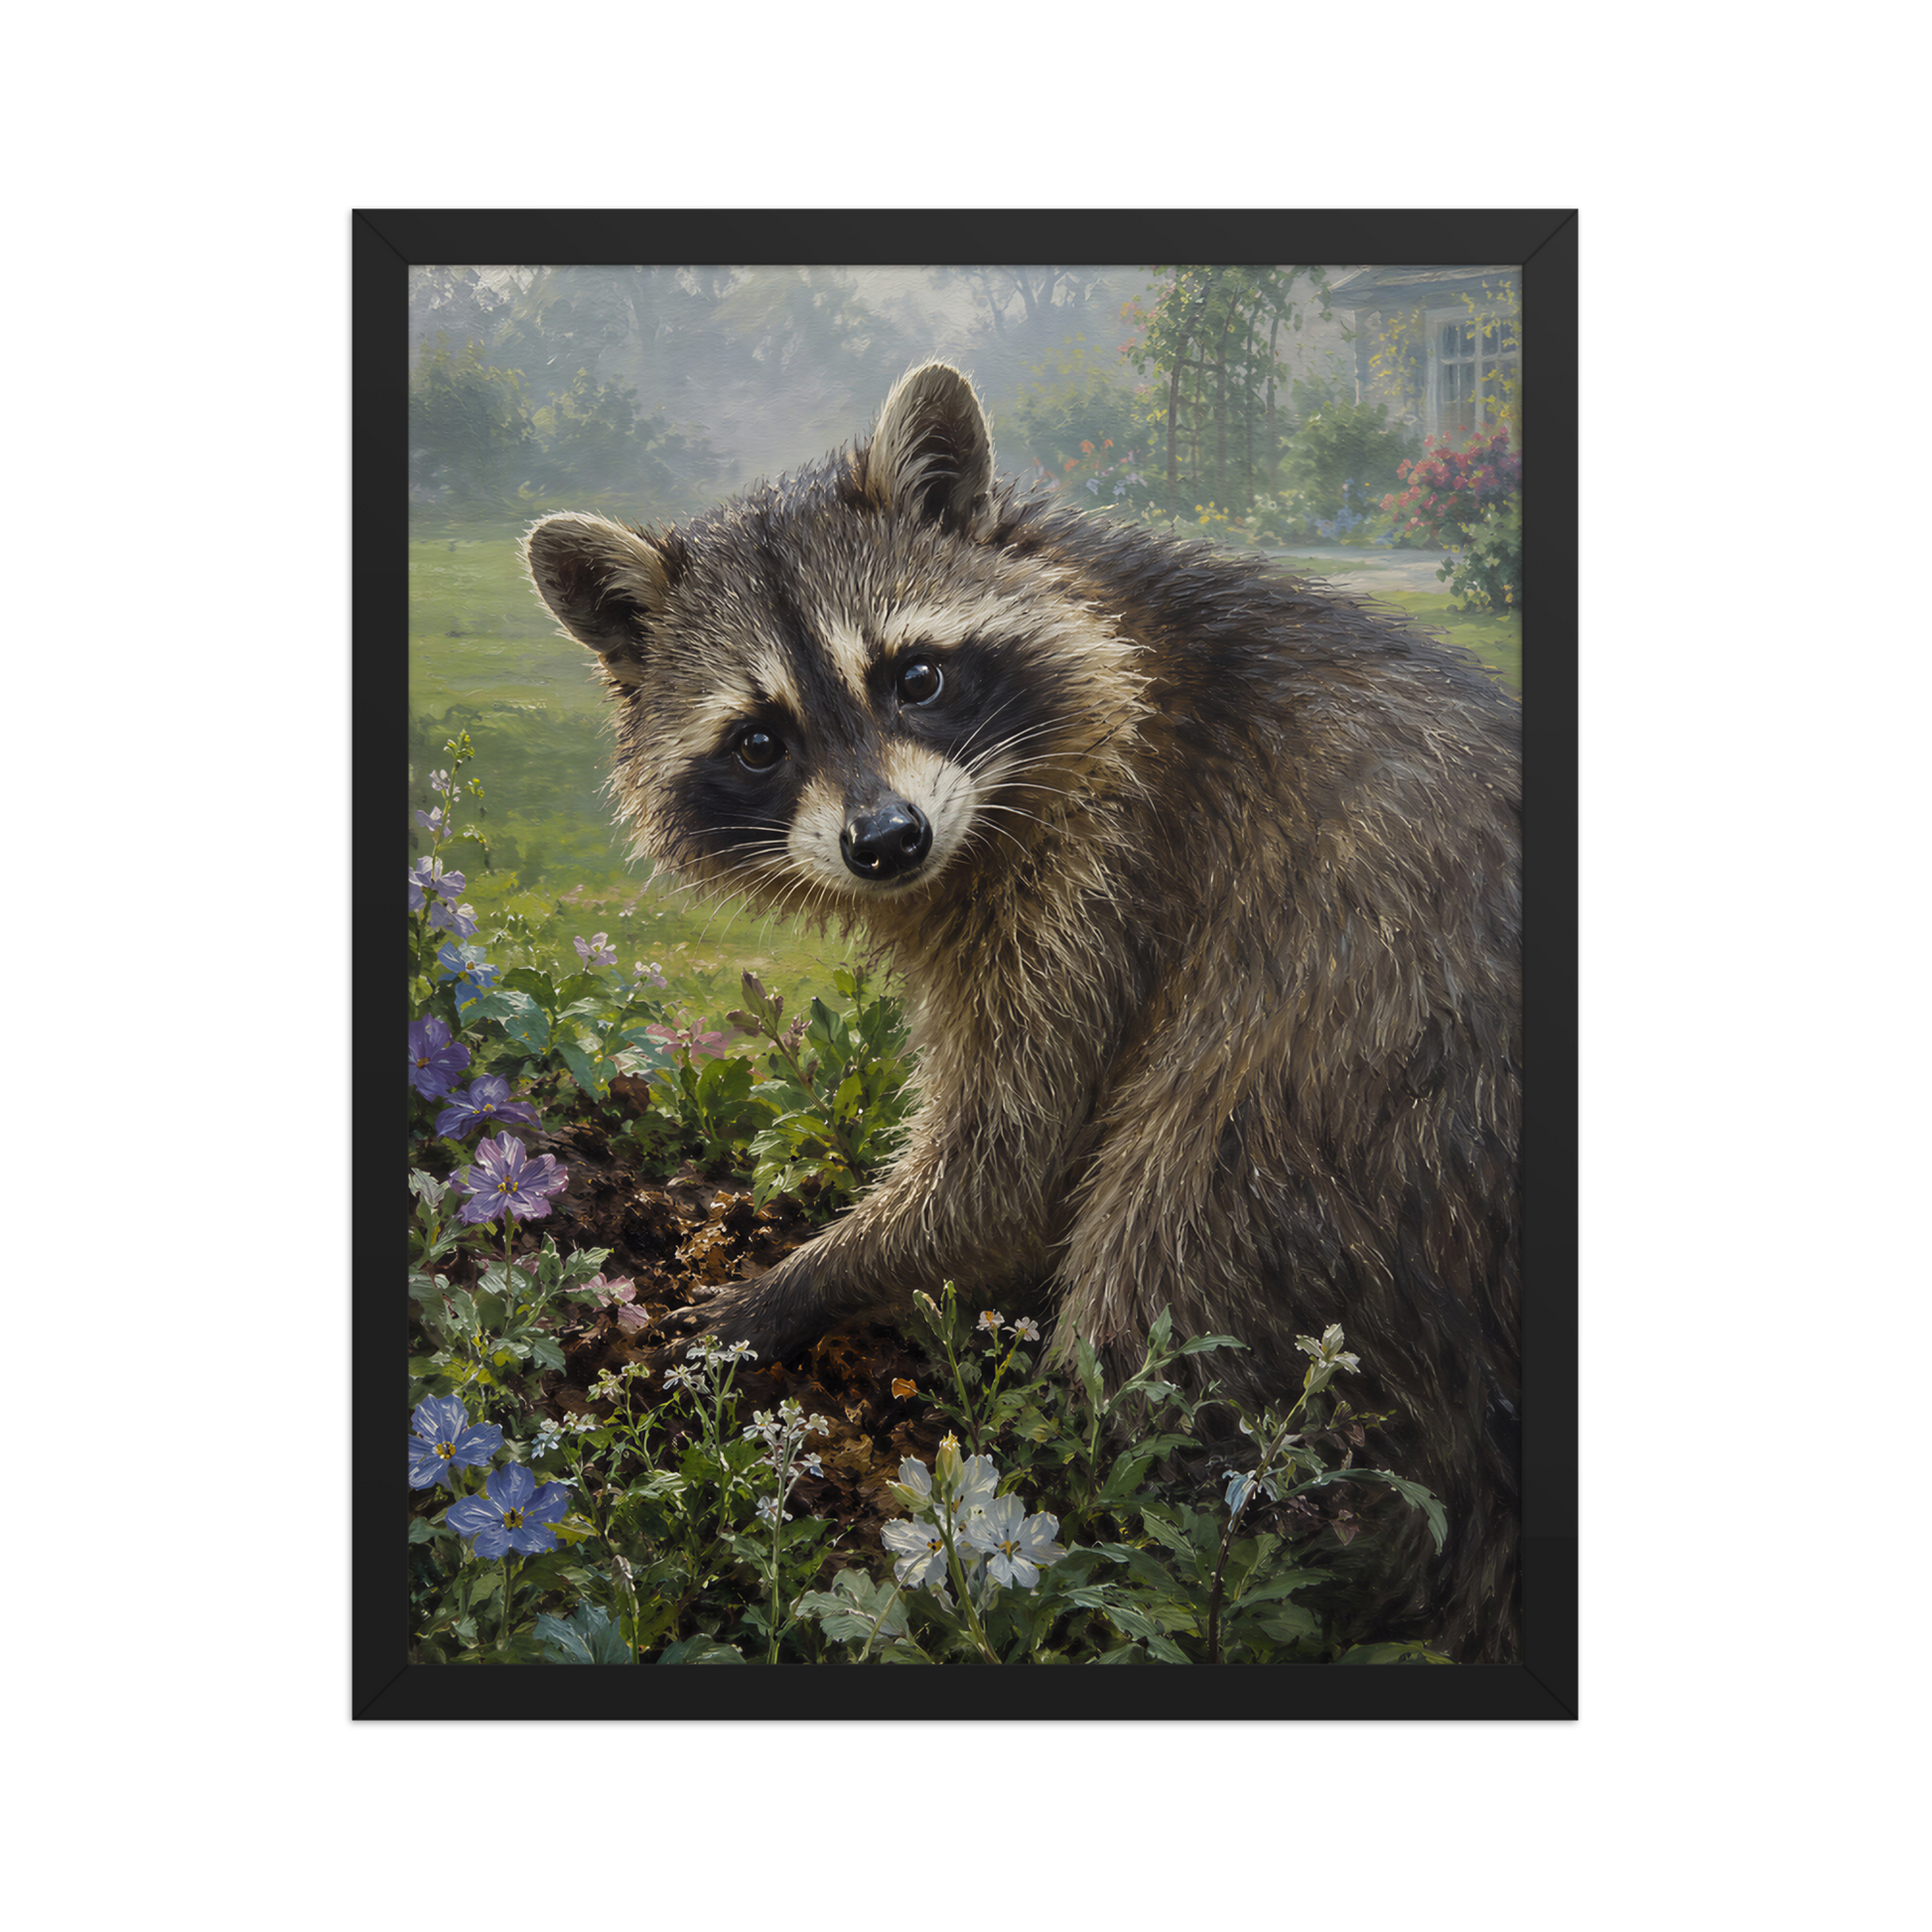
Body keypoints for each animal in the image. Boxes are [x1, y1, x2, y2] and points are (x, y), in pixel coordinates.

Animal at [523, 362, 1522, 1663]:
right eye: (758, 739)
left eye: (915, 675)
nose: (885, 841)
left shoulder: (1110, 867)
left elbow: (1009, 1165)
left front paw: (799, 1282)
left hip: (1341, 1119)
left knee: (1166, 1256)